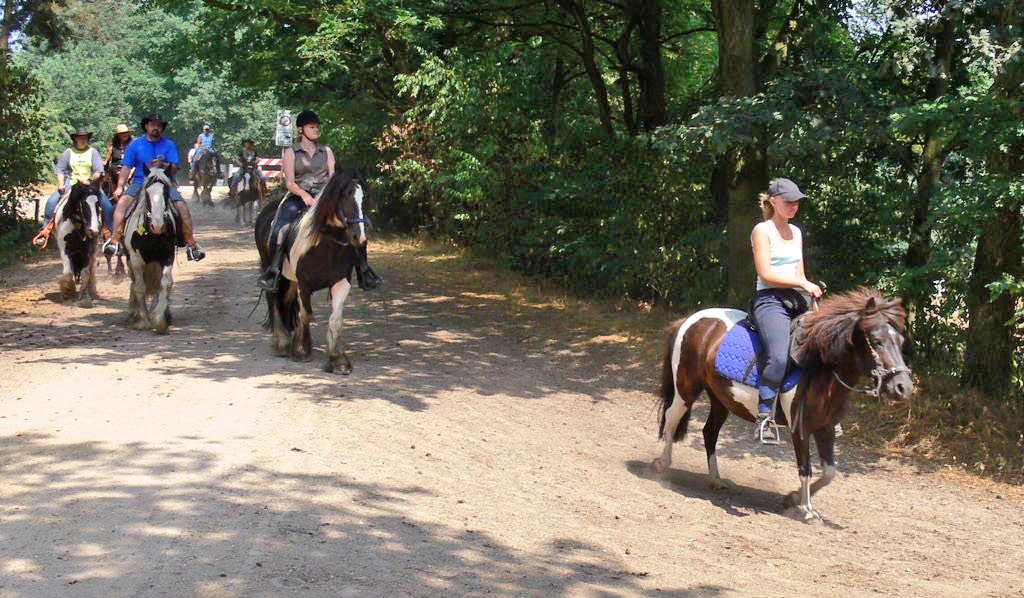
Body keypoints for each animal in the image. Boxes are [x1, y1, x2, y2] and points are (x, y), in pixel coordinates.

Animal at [123, 168, 179, 334]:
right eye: (147, 193)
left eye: (166, 191)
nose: (158, 225)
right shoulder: (135, 260)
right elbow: (140, 287)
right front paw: (144, 321)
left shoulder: (167, 256)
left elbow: (165, 283)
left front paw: (159, 319)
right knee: (135, 283)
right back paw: (134, 312)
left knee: (156, 285)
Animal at [254, 168, 370, 374]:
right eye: (346, 196)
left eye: (363, 198)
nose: (359, 237)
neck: (325, 245)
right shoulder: (304, 284)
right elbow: (306, 314)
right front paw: (301, 350)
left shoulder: (341, 282)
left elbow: (336, 320)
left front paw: (337, 360)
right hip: (272, 270)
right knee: (273, 298)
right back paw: (282, 342)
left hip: (290, 280)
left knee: (285, 301)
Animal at [652, 287, 914, 522]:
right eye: (877, 341)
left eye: (900, 340)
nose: (904, 387)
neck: (822, 368)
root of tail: (690, 319)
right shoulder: (801, 429)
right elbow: (805, 469)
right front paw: (808, 510)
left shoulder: (826, 428)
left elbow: (829, 472)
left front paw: (793, 499)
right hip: (686, 388)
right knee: (672, 418)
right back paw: (662, 465)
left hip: (721, 398)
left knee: (709, 433)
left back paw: (716, 480)